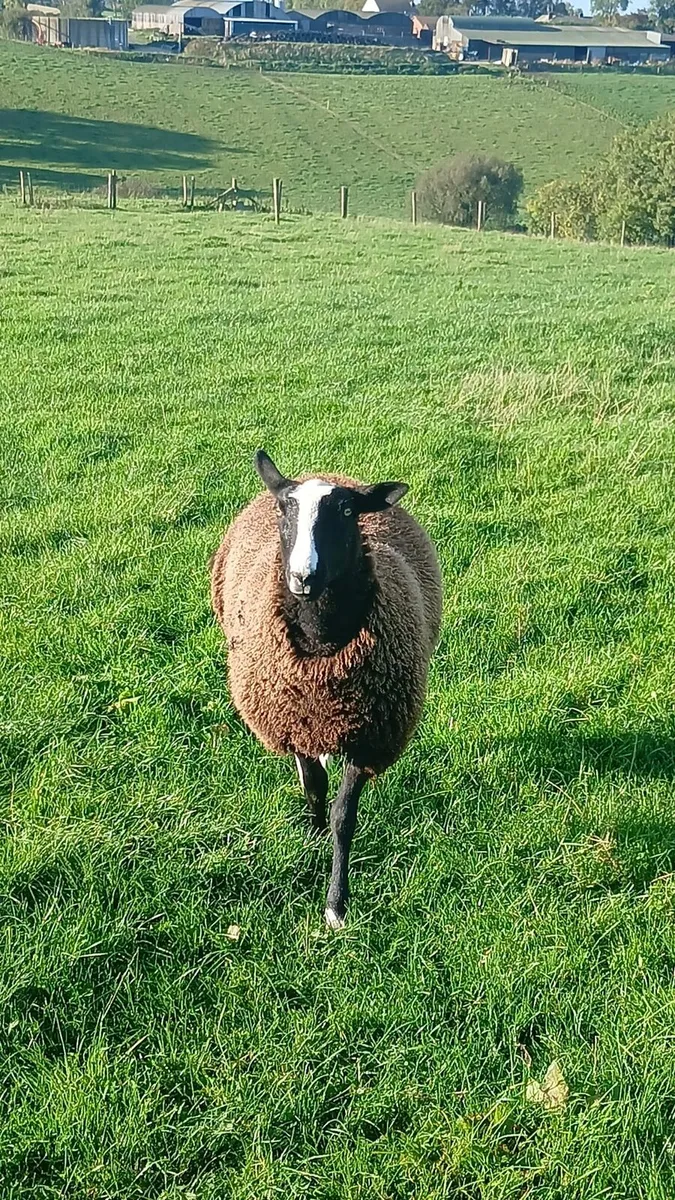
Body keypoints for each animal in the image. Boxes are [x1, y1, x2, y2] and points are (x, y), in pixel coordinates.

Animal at [210, 450, 442, 928]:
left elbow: (344, 816)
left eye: (348, 512)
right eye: (284, 509)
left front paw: (336, 903)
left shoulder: (367, 738)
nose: (303, 577)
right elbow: (314, 786)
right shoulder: (293, 720)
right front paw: (313, 836)